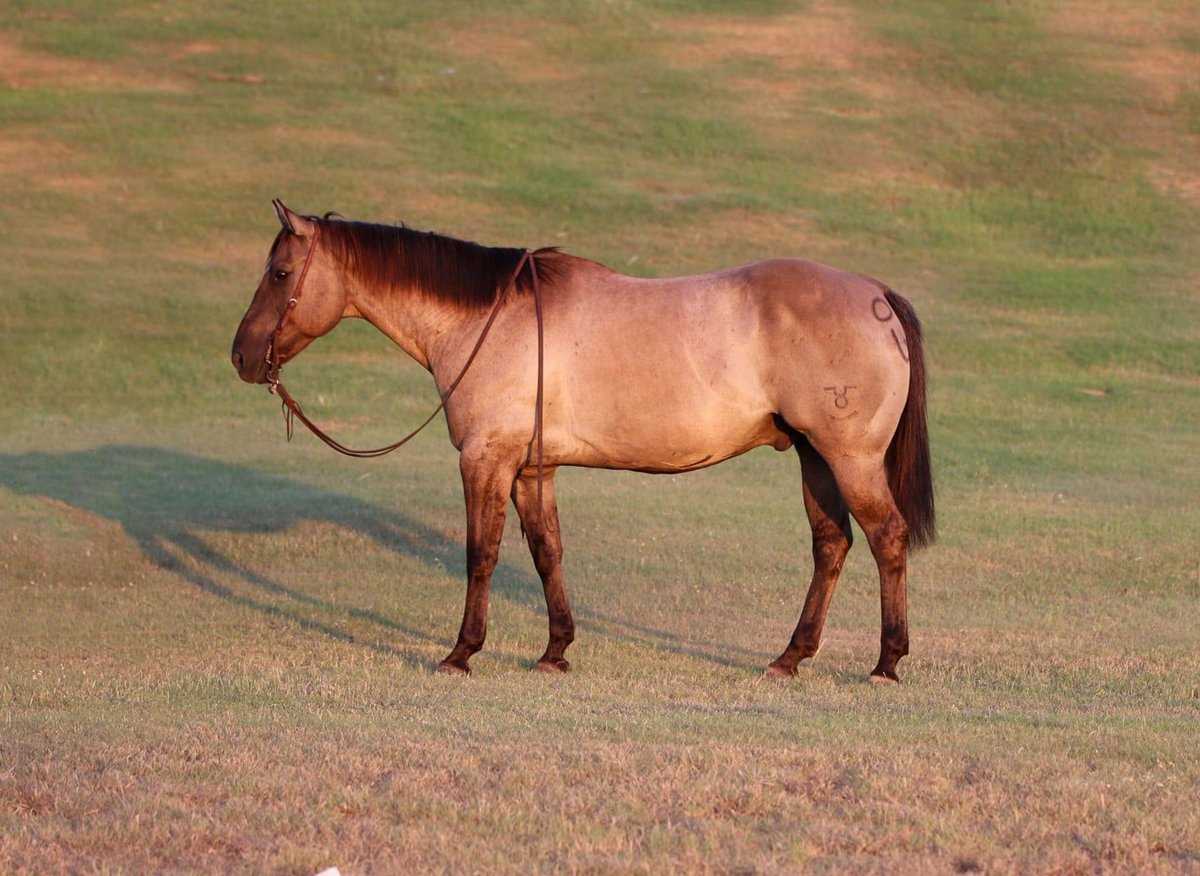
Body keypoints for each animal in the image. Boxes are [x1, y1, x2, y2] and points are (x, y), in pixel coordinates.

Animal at [232, 201, 935, 682]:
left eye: (281, 272)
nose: (241, 356)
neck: (491, 318)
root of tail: (875, 295)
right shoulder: (531, 470)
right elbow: (547, 553)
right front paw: (555, 651)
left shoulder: (485, 461)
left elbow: (480, 555)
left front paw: (461, 652)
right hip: (816, 458)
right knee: (832, 545)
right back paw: (789, 657)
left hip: (850, 459)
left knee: (887, 539)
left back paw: (886, 662)